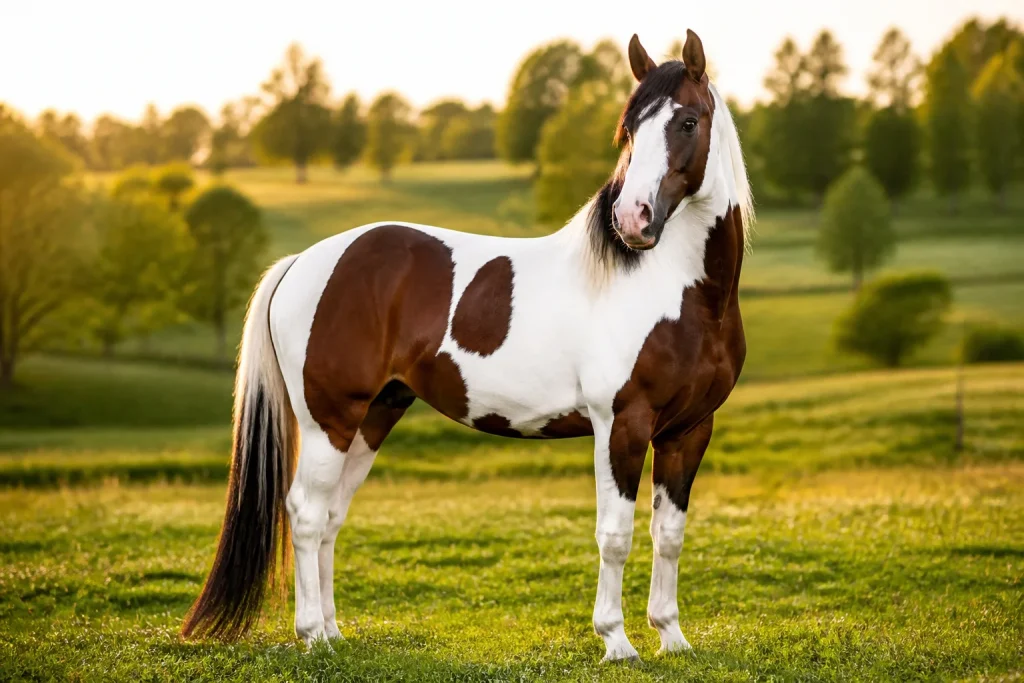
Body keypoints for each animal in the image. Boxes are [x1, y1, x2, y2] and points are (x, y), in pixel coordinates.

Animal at [181, 29, 752, 662]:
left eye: (686, 122)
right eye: (628, 129)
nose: (632, 220)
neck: (677, 290)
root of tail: (302, 261)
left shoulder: (688, 430)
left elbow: (668, 534)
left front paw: (671, 636)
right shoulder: (620, 424)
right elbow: (616, 535)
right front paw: (616, 641)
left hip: (374, 416)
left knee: (330, 515)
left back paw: (333, 632)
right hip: (329, 420)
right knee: (306, 513)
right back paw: (312, 637)